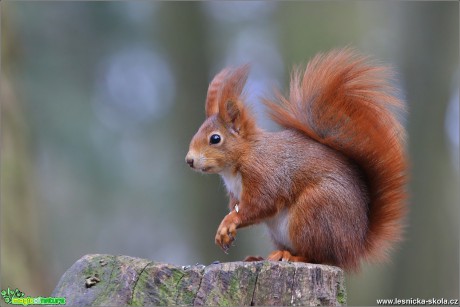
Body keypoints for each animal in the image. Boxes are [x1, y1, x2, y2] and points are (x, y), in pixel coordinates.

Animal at [183, 48, 406, 272]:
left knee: (319, 256)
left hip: (314, 212)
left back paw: (292, 256)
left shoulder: (265, 173)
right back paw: (260, 257)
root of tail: (355, 248)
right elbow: (241, 207)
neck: (243, 158)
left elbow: (260, 205)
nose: (189, 160)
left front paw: (230, 221)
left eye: (215, 139)